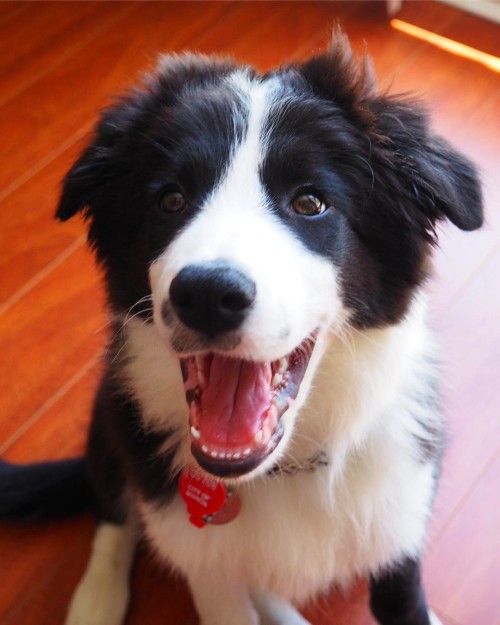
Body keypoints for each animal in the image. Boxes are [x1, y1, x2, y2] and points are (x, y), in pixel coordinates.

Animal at [0, 31, 484, 624]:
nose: (207, 295)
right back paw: (96, 600)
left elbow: (406, 600)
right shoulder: (206, 566)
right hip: (111, 410)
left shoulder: (399, 520)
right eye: (170, 200)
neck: (286, 467)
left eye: (310, 201)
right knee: (113, 506)